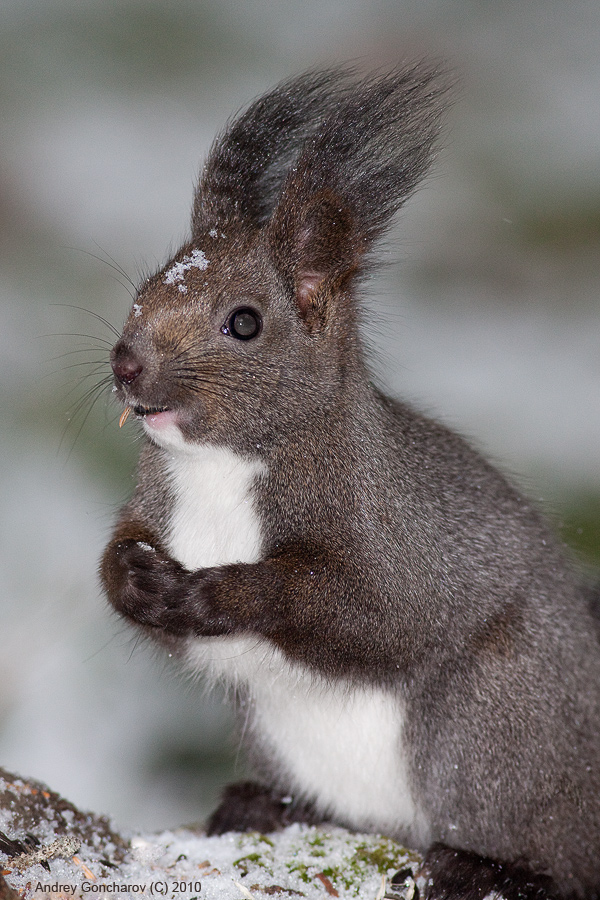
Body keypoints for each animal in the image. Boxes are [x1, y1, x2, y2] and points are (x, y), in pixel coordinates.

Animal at [101, 68, 600, 900]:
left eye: (244, 322)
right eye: (143, 290)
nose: (126, 363)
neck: (223, 466)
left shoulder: (390, 536)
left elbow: (362, 611)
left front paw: (220, 593)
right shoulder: (158, 506)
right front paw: (129, 577)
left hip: (493, 726)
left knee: (548, 854)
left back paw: (487, 866)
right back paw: (262, 806)